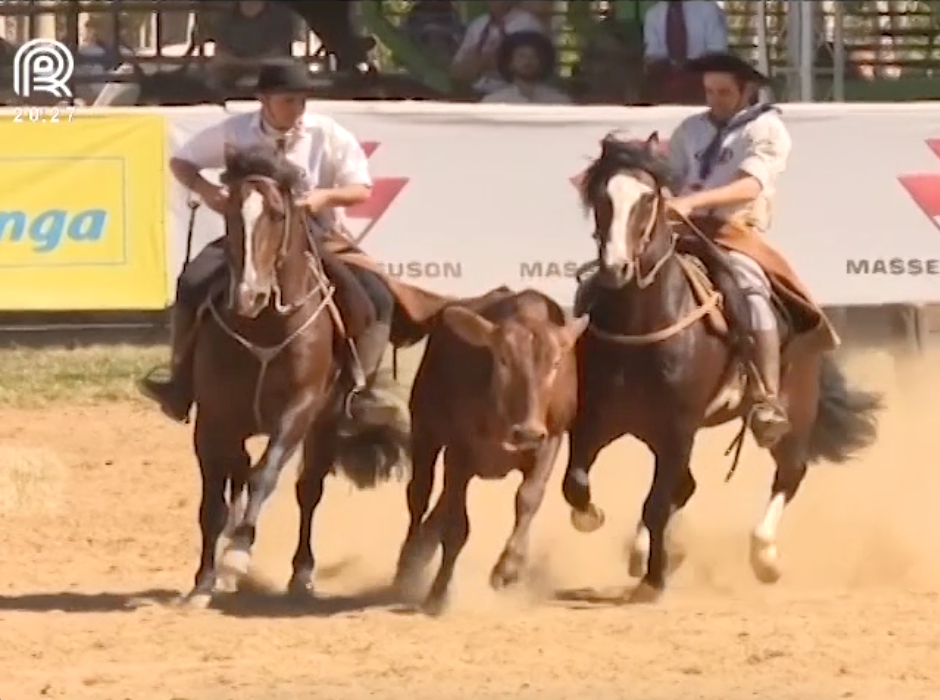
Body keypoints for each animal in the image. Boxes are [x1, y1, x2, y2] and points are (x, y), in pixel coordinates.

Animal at [180, 144, 408, 608]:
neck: (264, 326)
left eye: (277, 213)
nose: (248, 295)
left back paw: (301, 574)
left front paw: (236, 557)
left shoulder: (297, 412)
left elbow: (264, 476)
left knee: (308, 490)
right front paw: (203, 582)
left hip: (326, 422)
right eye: (229, 210)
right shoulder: (212, 417)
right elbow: (214, 500)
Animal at [394, 288, 588, 616]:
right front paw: (439, 594)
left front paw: (508, 568)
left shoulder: (550, 439)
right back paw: (407, 566)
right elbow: (456, 526)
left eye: (556, 362)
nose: (527, 431)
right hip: (425, 429)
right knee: (419, 495)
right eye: (503, 359)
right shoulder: (458, 449)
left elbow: (528, 498)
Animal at [560, 133, 884, 600]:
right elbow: (576, 485)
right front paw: (602, 523)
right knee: (685, 487)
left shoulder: (678, 427)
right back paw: (646, 551)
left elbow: (656, 503)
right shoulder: (595, 419)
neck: (643, 321)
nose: (615, 268)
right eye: (602, 196)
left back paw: (764, 556)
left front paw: (653, 581)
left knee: (789, 473)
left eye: (648, 198)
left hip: (793, 413)